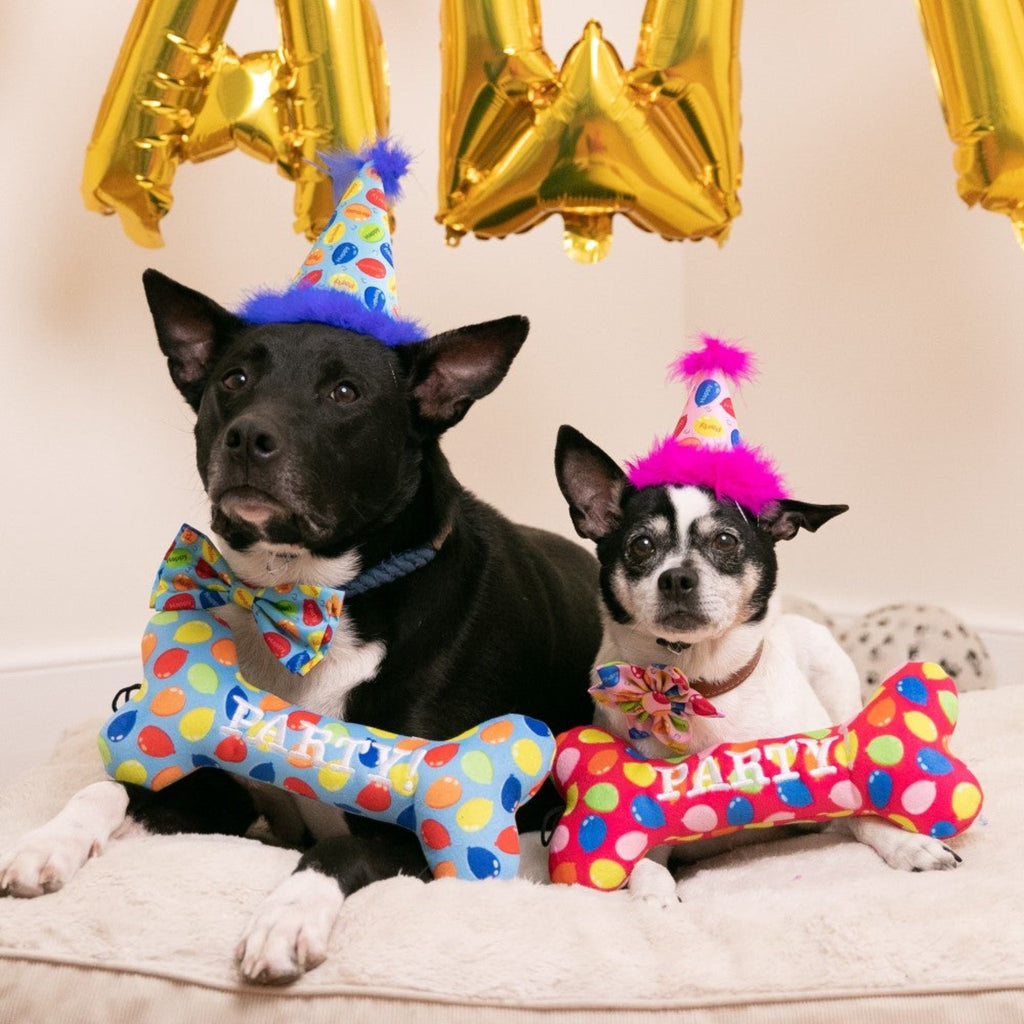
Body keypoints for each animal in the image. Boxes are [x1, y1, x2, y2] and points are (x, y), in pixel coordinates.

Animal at [0, 272, 598, 983]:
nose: (247, 437)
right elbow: (108, 789)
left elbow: (334, 854)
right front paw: (49, 843)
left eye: (345, 393)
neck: (303, 596)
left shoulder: (412, 823)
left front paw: (284, 917)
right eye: (233, 379)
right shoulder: (221, 794)